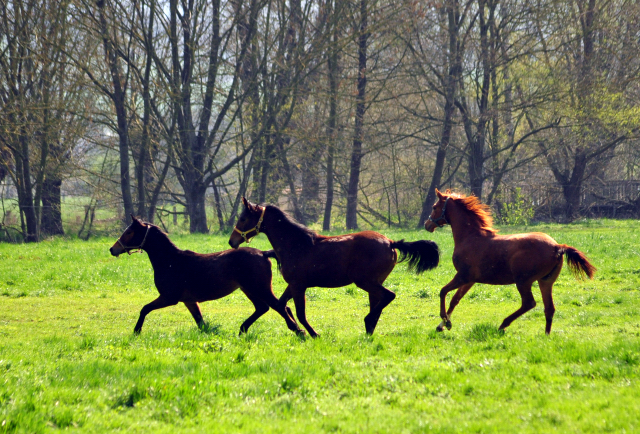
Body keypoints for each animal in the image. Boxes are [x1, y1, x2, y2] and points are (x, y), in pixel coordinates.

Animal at [109, 214, 304, 336]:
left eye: (129, 232)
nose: (112, 249)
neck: (170, 261)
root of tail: (263, 253)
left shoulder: (169, 297)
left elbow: (144, 308)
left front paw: (136, 331)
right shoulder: (189, 301)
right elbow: (200, 323)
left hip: (259, 288)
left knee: (279, 306)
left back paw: (298, 331)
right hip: (249, 289)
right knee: (263, 307)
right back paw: (242, 329)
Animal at [226, 198, 440, 338]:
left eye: (243, 219)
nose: (231, 241)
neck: (296, 244)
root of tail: (390, 242)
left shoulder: (298, 286)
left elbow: (299, 313)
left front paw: (312, 334)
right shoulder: (293, 285)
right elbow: (281, 305)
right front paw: (295, 330)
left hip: (365, 281)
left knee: (389, 296)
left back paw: (366, 321)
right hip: (374, 283)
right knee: (379, 304)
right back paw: (369, 331)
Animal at [424, 188, 596, 334]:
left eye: (434, 207)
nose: (427, 224)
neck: (471, 237)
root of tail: (557, 246)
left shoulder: (462, 276)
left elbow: (443, 291)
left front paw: (446, 322)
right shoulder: (470, 280)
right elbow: (455, 299)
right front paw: (442, 325)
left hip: (523, 281)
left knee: (529, 303)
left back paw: (503, 325)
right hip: (545, 282)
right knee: (549, 308)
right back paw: (546, 335)